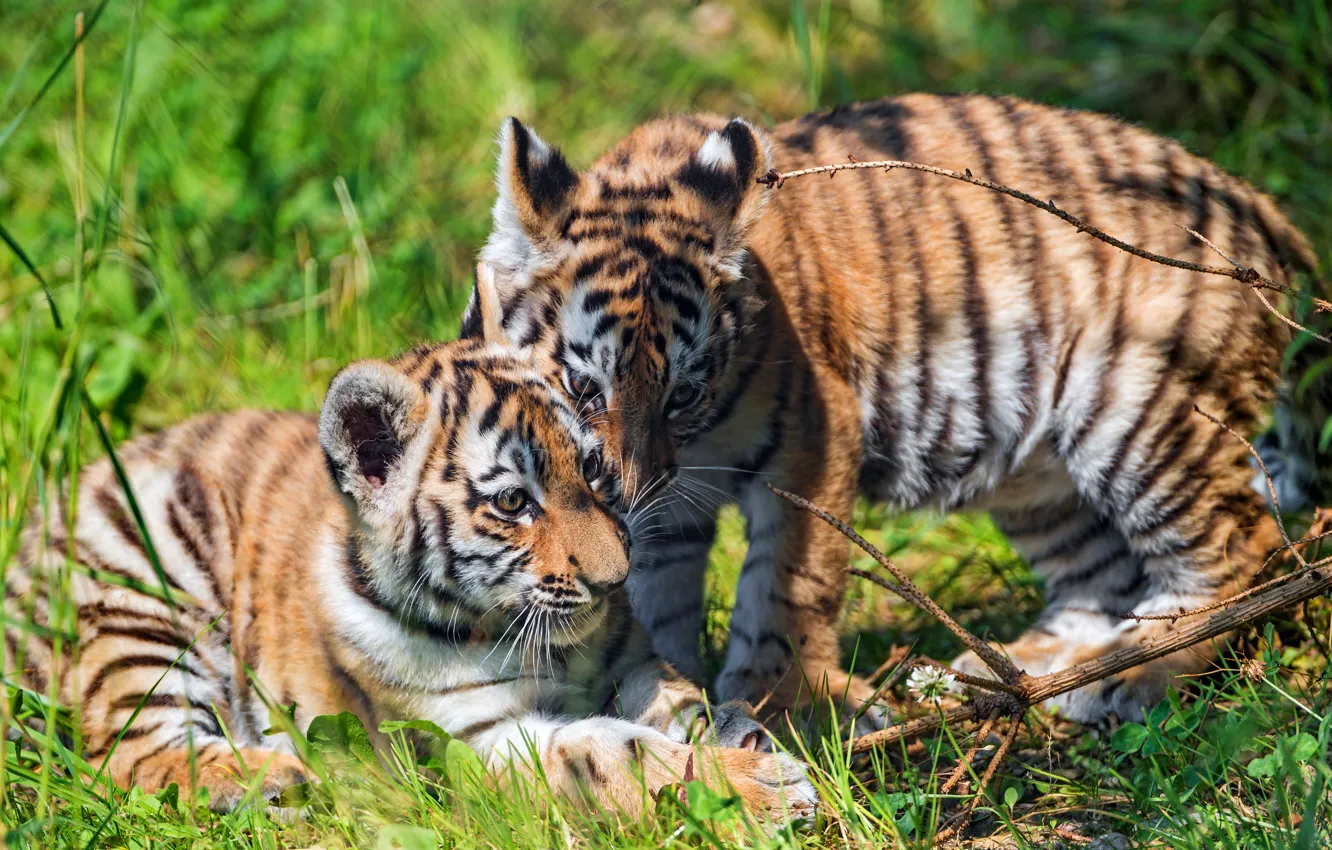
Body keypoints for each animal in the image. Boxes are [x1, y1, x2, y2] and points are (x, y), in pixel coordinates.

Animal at [3, 265, 816, 819]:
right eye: (513, 503)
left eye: (589, 468)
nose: (615, 582)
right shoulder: (475, 738)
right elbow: (612, 752)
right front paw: (759, 791)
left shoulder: (633, 662)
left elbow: (677, 701)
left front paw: (738, 732)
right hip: (143, 603)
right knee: (129, 755)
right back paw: (278, 778)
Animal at [464, 93, 1330, 724]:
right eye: (585, 390)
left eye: (682, 393)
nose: (630, 491)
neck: (693, 442)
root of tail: (1265, 214)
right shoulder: (667, 503)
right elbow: (653, 591)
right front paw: (666, 687)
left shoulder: (810, 443)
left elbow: (788, 583)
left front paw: (779, 702)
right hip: (1040, 475)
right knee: (1102, 579)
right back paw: (1025, 668)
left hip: (1139, 405)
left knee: (1237, 546)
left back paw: (1131, 678)